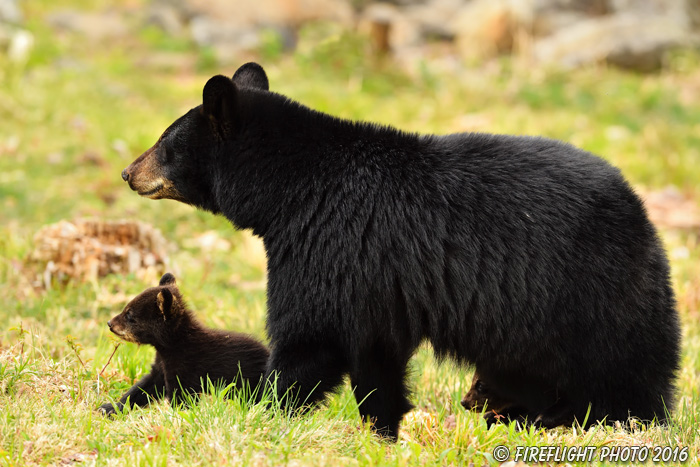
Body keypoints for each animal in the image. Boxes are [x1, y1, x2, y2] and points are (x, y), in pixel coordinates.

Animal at [100, 272, 270, 414]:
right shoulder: (162, 364)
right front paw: (111, 407)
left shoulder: (187, 366)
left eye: (130, 315)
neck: (174, 345)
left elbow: (182, 396)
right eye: (126, 308)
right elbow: (146, 386)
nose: (109, 323)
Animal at [120, 64, 680, 440]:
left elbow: (309, 337)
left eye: (165, 144)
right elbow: (375, 354)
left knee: (623, 364)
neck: (293, 191)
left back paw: (622, 422)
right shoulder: (373, 278)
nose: (128, 173)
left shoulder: (327, 244)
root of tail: (639, 209)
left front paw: (262, 411)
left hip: (583, 287)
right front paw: (384, 430)